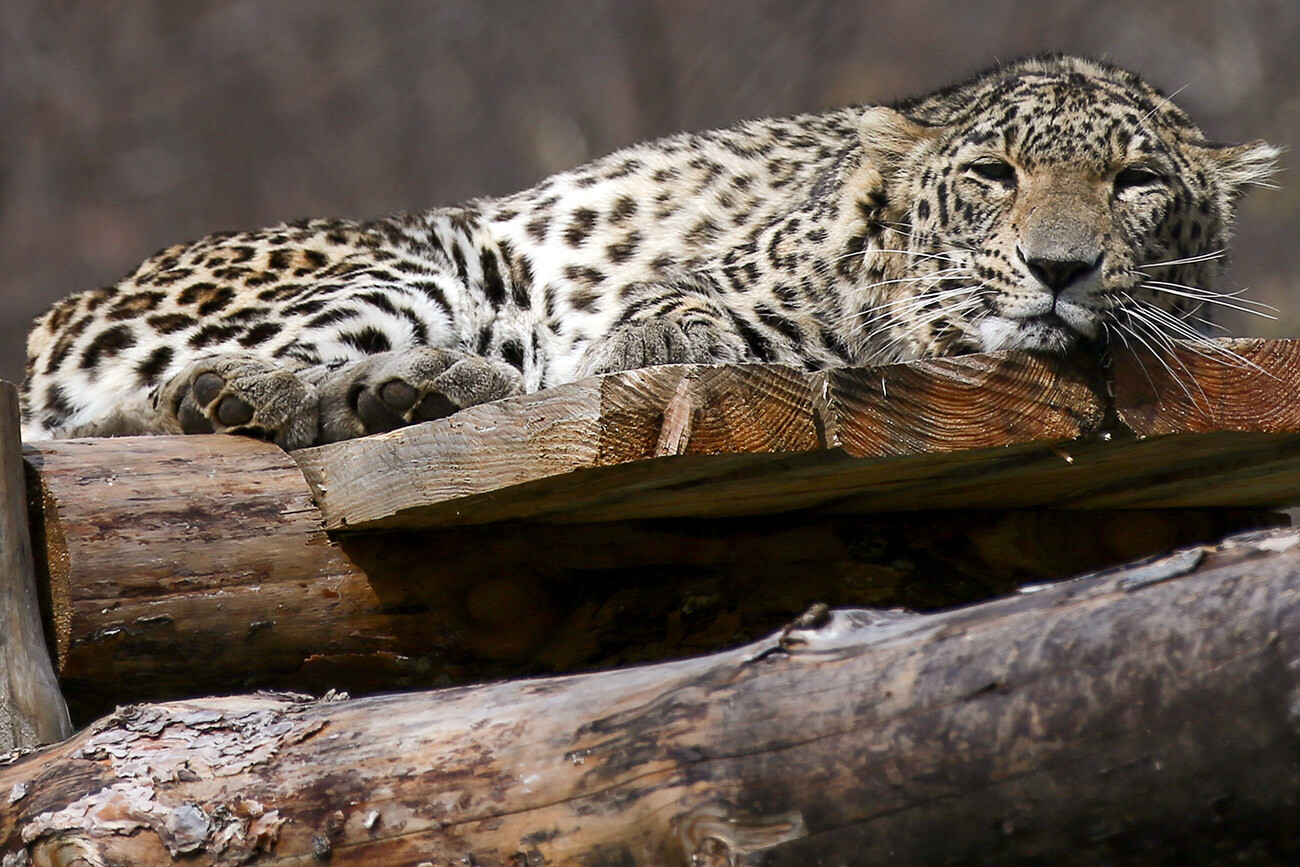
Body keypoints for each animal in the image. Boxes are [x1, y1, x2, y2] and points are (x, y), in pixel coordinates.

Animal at [22, 55, 1279, 452]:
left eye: (1135, 185)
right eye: (992, 177)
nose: (1058, 270)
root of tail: (56, 311)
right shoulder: (718, 277)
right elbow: (684, 322)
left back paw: (415, 393)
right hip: (422, 262)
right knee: (137, 406)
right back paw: (259, 394)